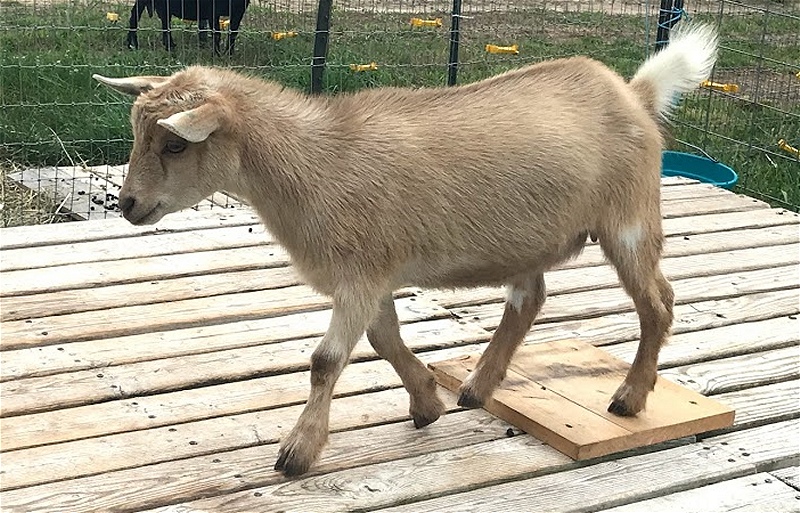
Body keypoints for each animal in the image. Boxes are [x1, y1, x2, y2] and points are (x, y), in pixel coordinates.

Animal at [93, 22, 718, 477]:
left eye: (175, 145)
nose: (128, 204)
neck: (314, 163)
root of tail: (633, 92)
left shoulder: (362, 273)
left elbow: (325, 361)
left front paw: (298, 452)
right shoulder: (370, 273)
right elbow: (383, 340)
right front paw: (426, 404)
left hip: (630, 219)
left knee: (657, 303)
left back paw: (630, 398)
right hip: (537, 238)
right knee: (530, 300)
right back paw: (476, 388)